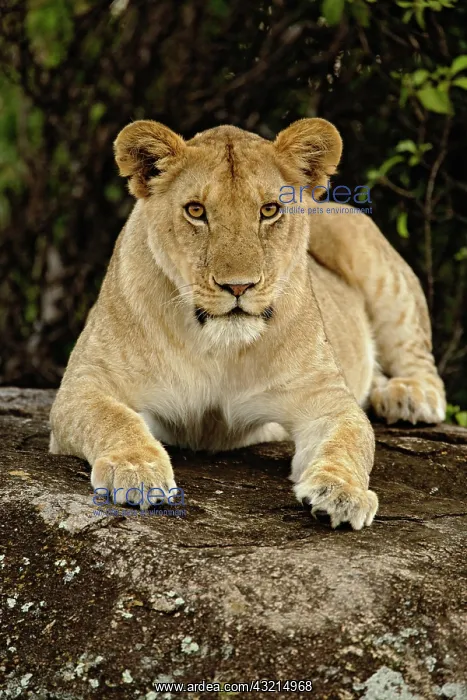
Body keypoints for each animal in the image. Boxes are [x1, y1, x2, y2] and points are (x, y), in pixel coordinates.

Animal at [49, 118, 446, 529]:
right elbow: (113, 418)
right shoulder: (85, 383)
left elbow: (350, 440)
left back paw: (408, 397)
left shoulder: (327, 400)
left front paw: (341, 492)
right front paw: (136, 471)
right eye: (196, 210)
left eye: (269, 210)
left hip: (377, 268)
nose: (238, 286)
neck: (217, 347)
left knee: (420, 360)